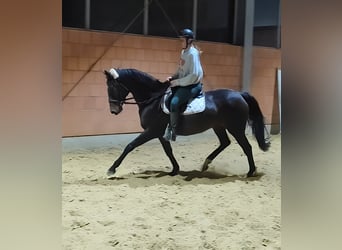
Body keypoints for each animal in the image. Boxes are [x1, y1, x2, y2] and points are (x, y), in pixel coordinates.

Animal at [103, 68, 268, 178]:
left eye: (113, 87)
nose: (114, 110)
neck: (153, 99)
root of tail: (239, 94)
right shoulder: (160, 134)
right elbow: (168, 151)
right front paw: (174, 170)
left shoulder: (151, 131)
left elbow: (130, 146)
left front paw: (112, 169)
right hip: (219, 126)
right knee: (225, 143)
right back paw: (206, 163)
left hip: (235, 128)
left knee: (247, 147)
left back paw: (250, 172)